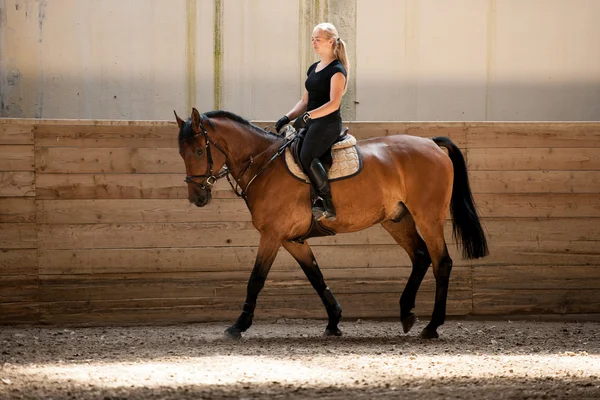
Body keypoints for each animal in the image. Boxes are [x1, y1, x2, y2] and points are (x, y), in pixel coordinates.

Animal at [175, 108, 488, 340]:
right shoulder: (291, 239)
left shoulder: (272, 235)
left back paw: (432, 326)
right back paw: (406, 314)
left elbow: (256, 280)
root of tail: (432, 144)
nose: (197, 197)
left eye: (199, 152)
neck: (265, 164)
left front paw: (238, 326)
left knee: (441, 262)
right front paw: (334, 321)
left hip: (428, 217)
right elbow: (316, 277)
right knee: (421, 257)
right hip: (396, 219)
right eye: (181, 153)